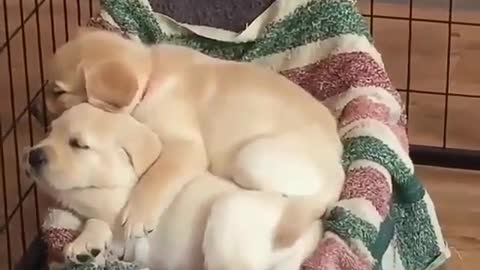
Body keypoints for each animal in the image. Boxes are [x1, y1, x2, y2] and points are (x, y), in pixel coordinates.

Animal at [23, 103, 322, 270]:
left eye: (78, 145)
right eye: (49, 131)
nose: (33, 155)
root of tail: (312, 232)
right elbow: (94, 220)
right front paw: (86, 245)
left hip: (227, 212)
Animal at [32, 28, 344, 246]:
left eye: (58, 92)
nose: (34, 110)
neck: (151, 77)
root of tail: (338, 169)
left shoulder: (185, 147)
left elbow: (156, 177)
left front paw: (138, 214)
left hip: (252, 158)